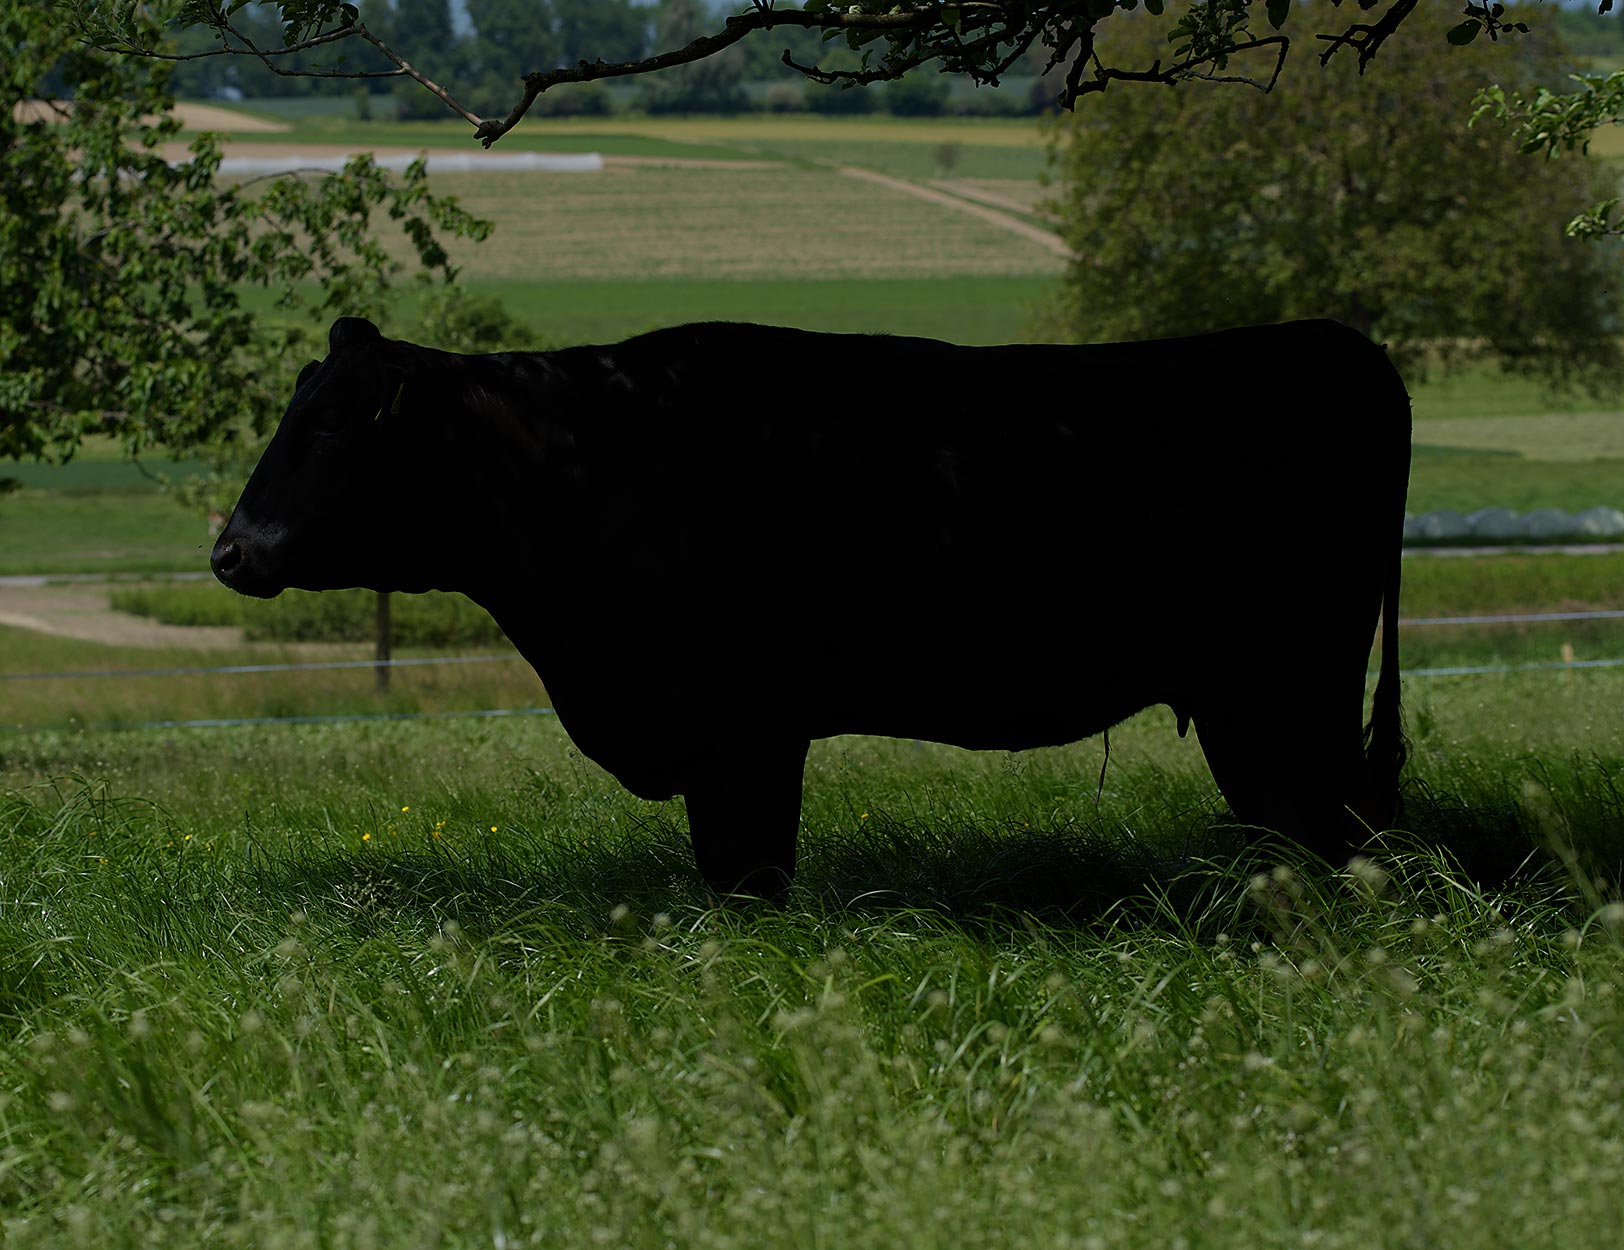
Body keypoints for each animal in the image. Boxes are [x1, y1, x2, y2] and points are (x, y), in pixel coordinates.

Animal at [215, 311, 1409, 896]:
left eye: (332, 427)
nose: (229, 548)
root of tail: (1335, 343)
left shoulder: (746, 727)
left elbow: (750, 876)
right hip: (1258, 703)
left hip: (1288, 687)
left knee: (1337, 830)